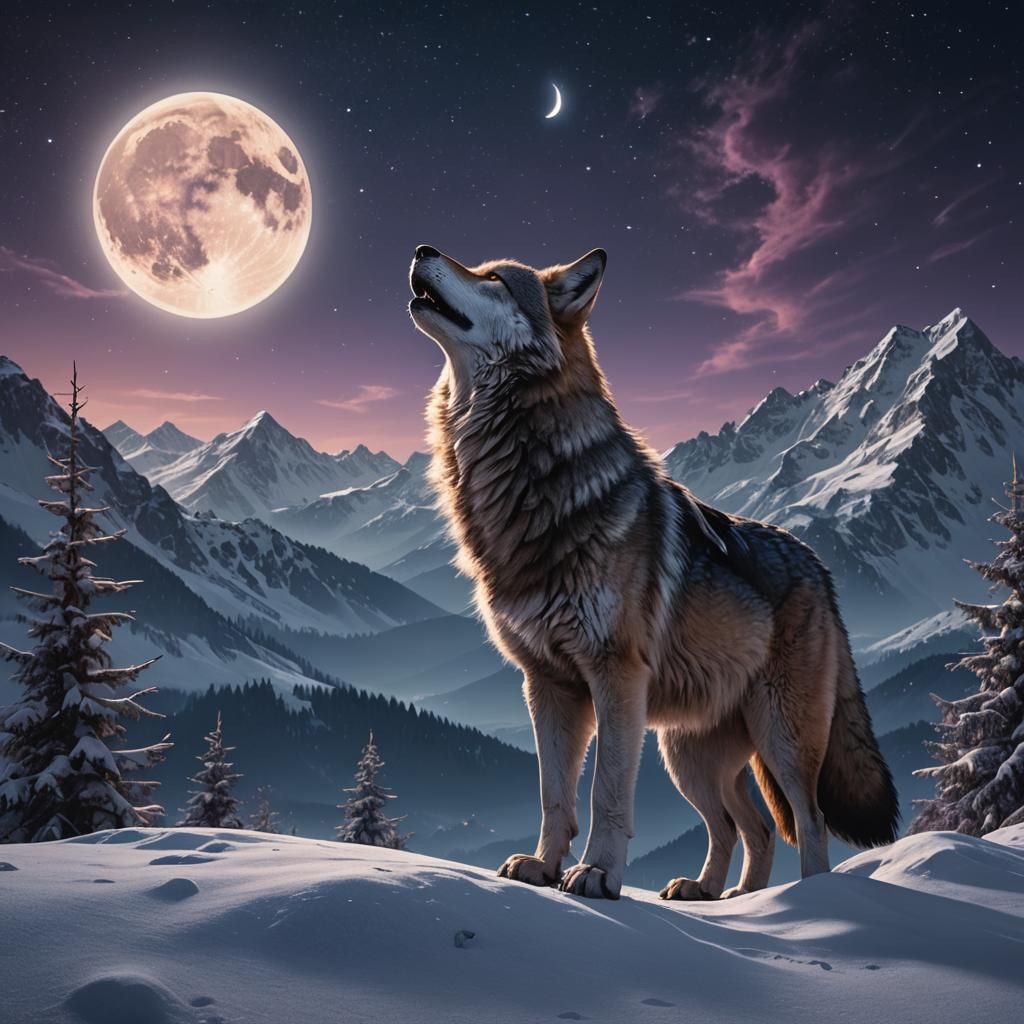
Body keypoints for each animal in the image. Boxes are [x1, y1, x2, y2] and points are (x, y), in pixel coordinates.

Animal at [408, 243, 899, 900]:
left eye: (494, 279)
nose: (422, 249)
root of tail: (819, 566)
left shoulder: (614, 678)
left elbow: (605, 793)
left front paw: (595, 874)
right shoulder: (546, 685)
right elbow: (553, 795)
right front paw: (542, 867)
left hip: (780, 739)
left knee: (808, 818)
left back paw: (800, 899)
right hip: (687, 755)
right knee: (749, 826)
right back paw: (722, 894)